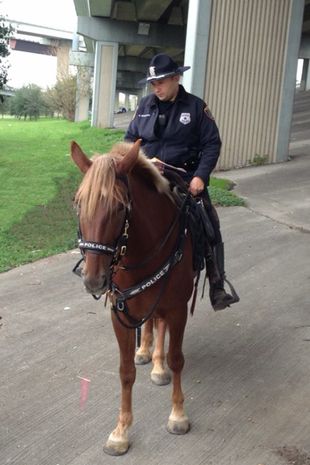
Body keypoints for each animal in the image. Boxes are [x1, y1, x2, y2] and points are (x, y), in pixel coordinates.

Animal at [71, 138, 195, 454]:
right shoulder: (120, 313)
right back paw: (146, 352)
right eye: (78, 203)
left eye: (118, 207)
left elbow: (178, 359)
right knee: (151, 324)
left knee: (160, 327)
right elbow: (125, 372)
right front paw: (121, 430)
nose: (94, 280)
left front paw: (178, 414)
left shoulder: (177, 308)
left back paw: (159, 365)